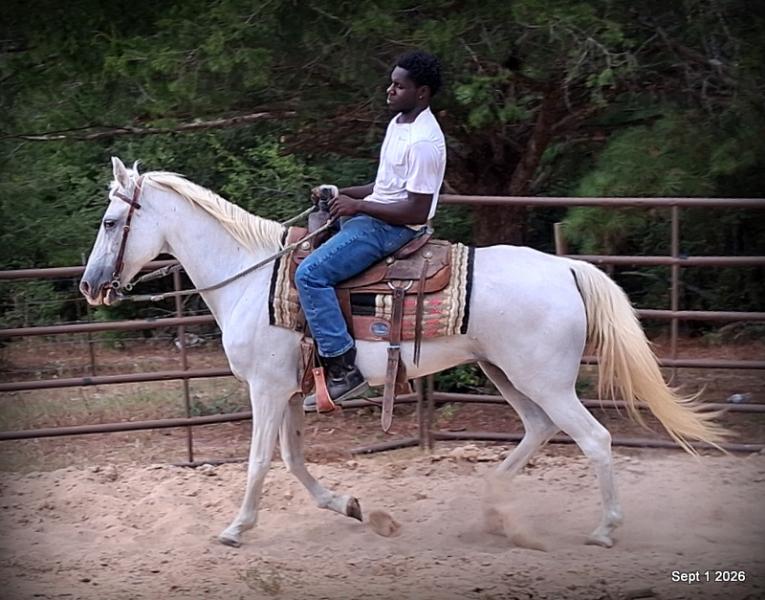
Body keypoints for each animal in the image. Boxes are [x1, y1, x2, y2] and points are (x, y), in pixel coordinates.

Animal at [80, 157, 725, 548]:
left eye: (111, 220)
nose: (89, 285)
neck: (252, 276)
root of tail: (566, 268)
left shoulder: (265, 388)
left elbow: (261, 460)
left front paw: (237, 528)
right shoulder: (288, 390)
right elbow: (293, 461)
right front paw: (356, 509)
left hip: (544, 379)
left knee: (594, 439)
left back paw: (604, 530)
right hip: (506, 372)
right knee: (540, 430)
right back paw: (494, 509)